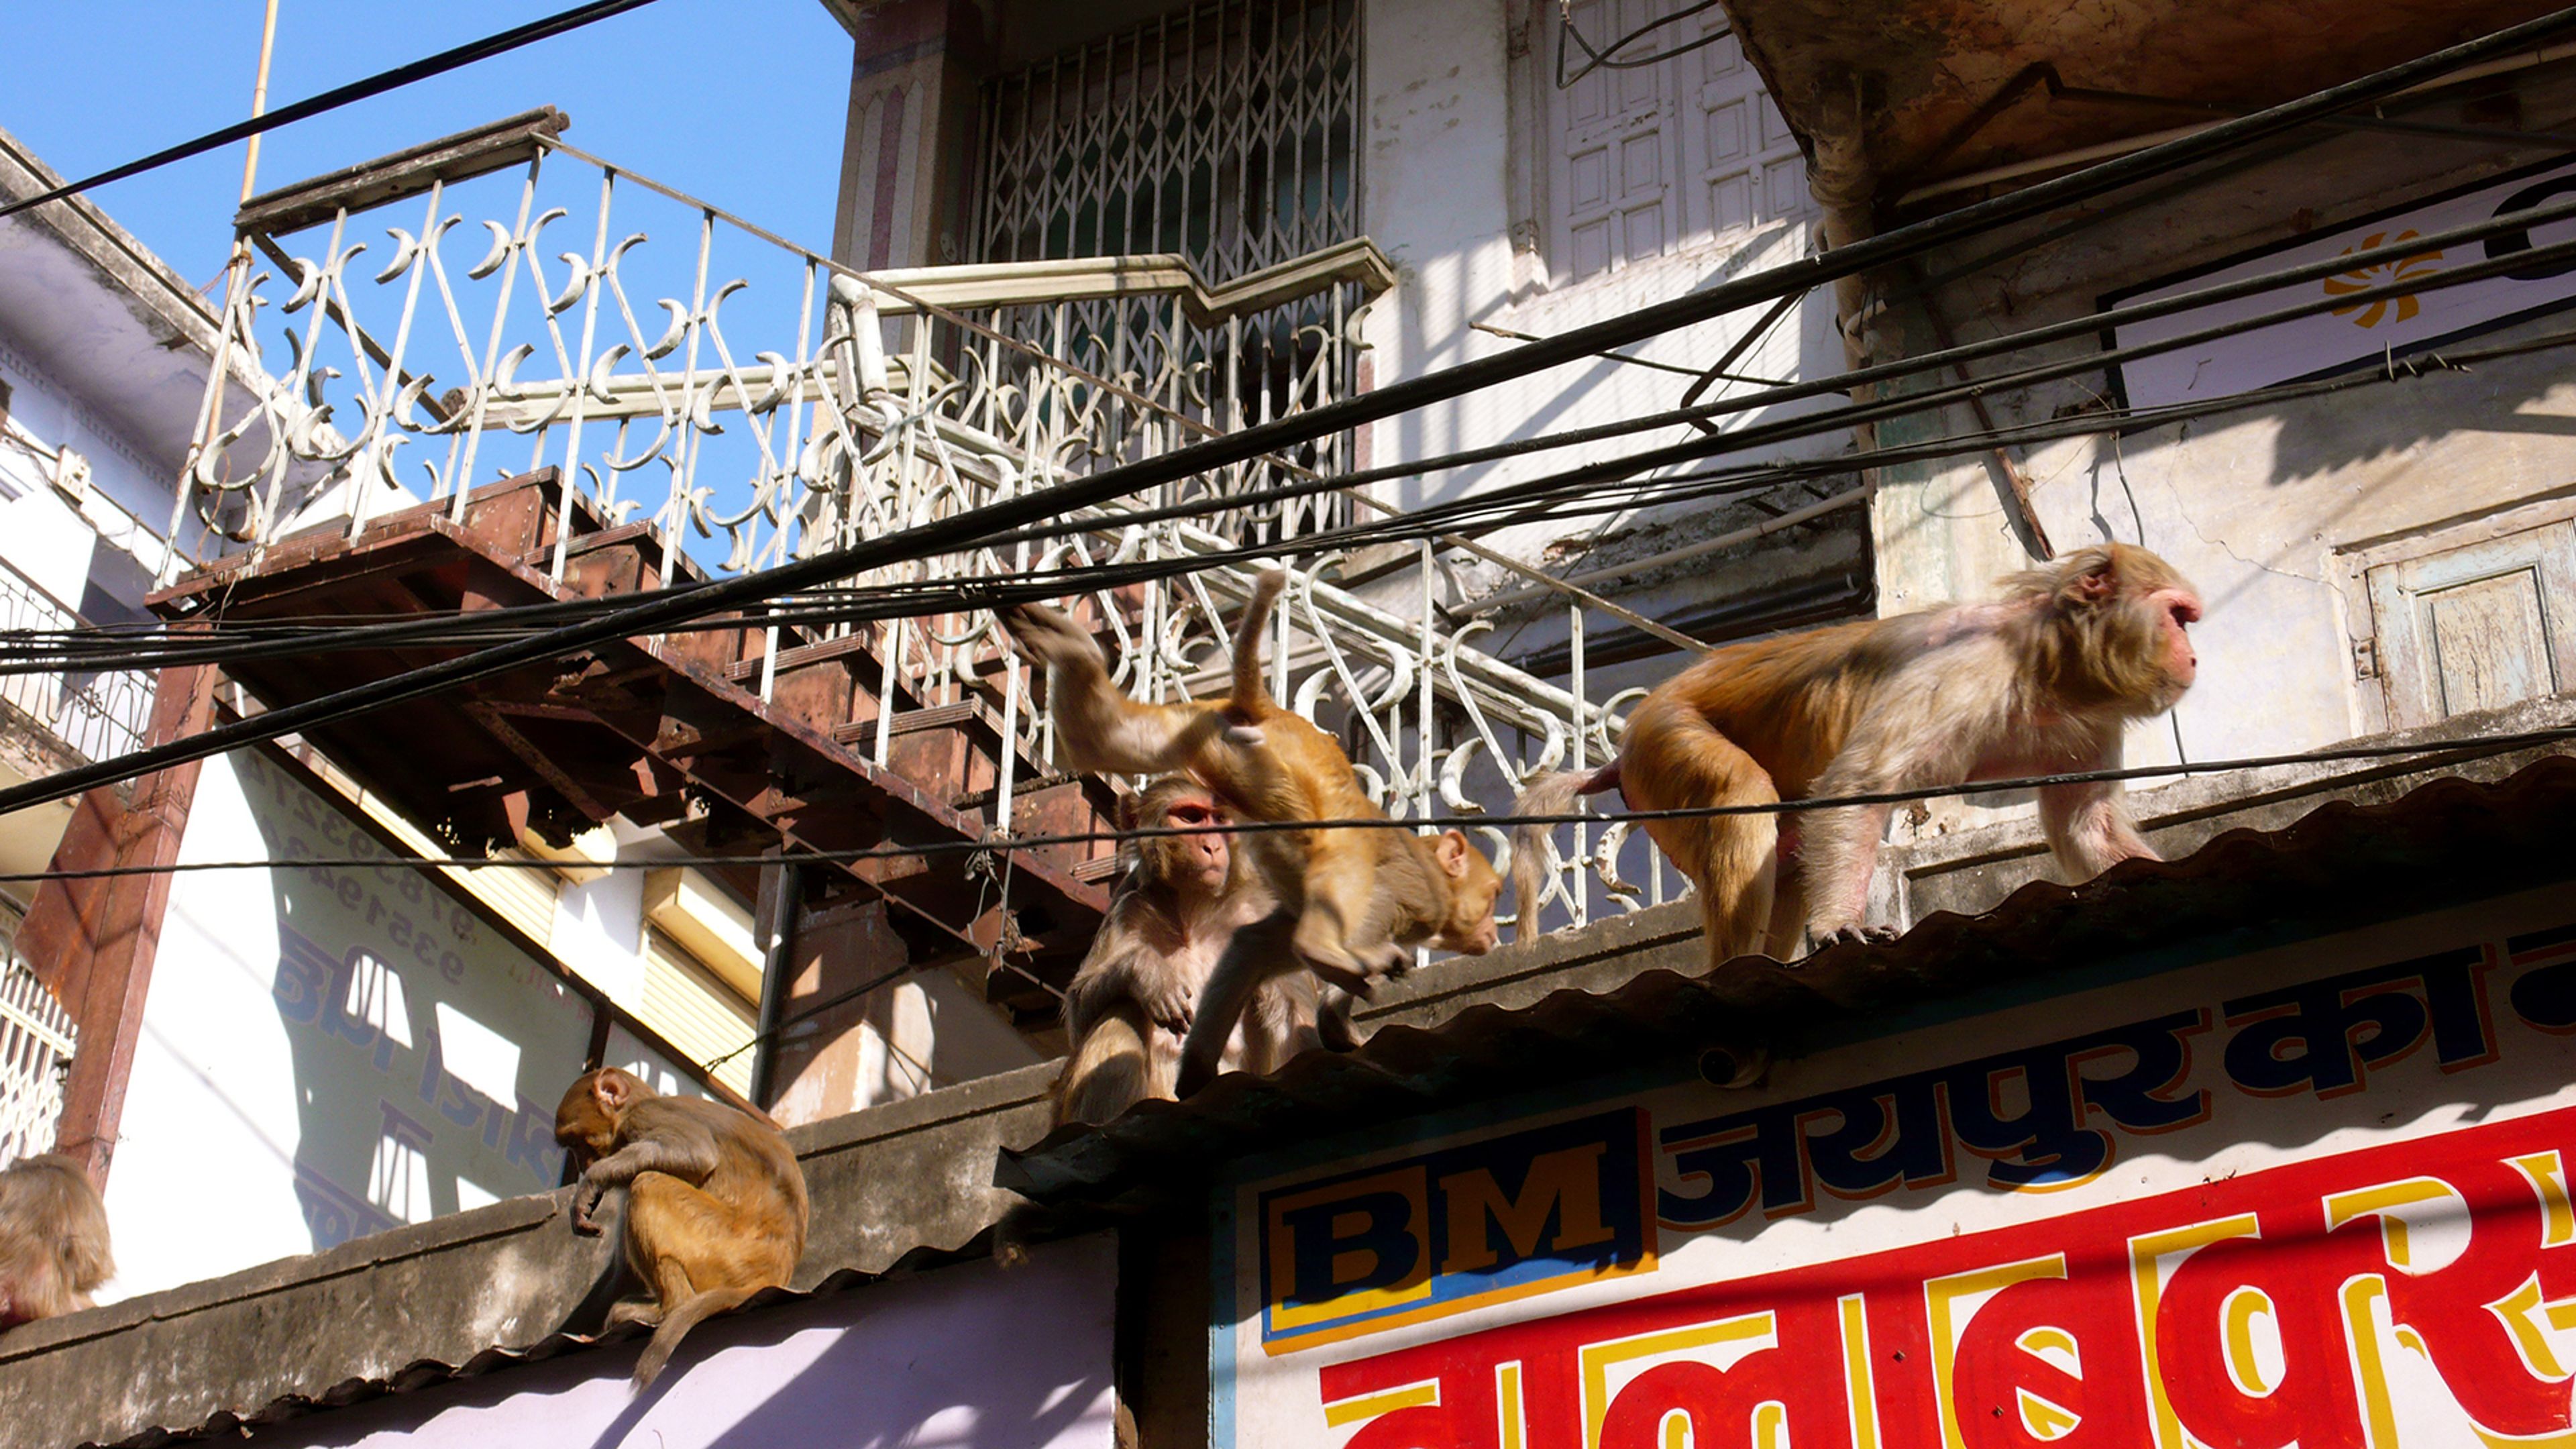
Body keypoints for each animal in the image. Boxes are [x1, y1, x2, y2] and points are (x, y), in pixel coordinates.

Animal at [554, 1067, 809, 1387]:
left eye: (577, 1143)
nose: (582, 1165)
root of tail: (774, 1275)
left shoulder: (648, 1117)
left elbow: (696, 1153)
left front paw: (592, 1180)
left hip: (724, 1248)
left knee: (648, 1183)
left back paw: (669, 1308)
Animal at [1513, 543, 2201, 968]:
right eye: (2178, 617)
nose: (2193, 656)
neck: (2049, 661)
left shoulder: (2091, 722)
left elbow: (2088, 828)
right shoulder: (1967, 667)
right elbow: (1858, 783)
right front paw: (1838, 926)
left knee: (1788, 850)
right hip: (1664, 738)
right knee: (1743, 798)